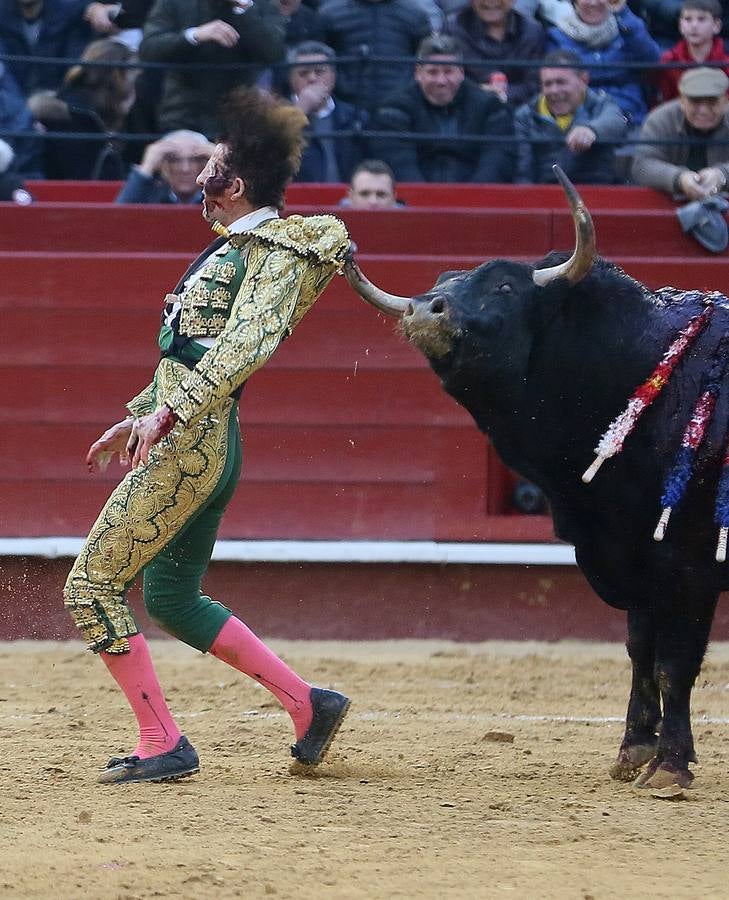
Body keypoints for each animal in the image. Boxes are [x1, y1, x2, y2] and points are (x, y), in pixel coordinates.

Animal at [346, 169, 728, 796]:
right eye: (442, 282)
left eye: (505, 286)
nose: (426, 310)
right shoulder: (633, 556)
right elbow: (640, 650)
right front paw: (634, 750)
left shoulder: (689, 563)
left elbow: (675, 662)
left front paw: (671, 766)